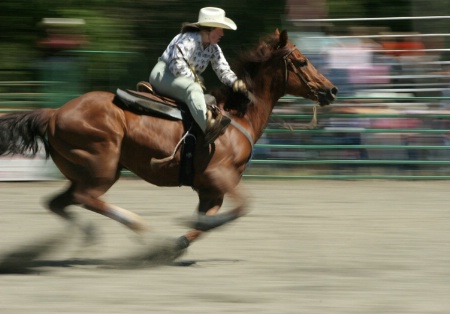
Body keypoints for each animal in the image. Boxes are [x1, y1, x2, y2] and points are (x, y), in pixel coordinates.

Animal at [0, 28, 334, 255]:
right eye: (302, 61)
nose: (331, 90)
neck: (237, 117)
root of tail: (55, 113)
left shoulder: (210, 189)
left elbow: (208, 218)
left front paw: (181, 241)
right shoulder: (220, 177)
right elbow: (240, 208)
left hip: (84, 171)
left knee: (59, 202)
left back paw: (91, 236)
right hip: (102, 167)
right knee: (85, 198)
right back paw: (136, 225)